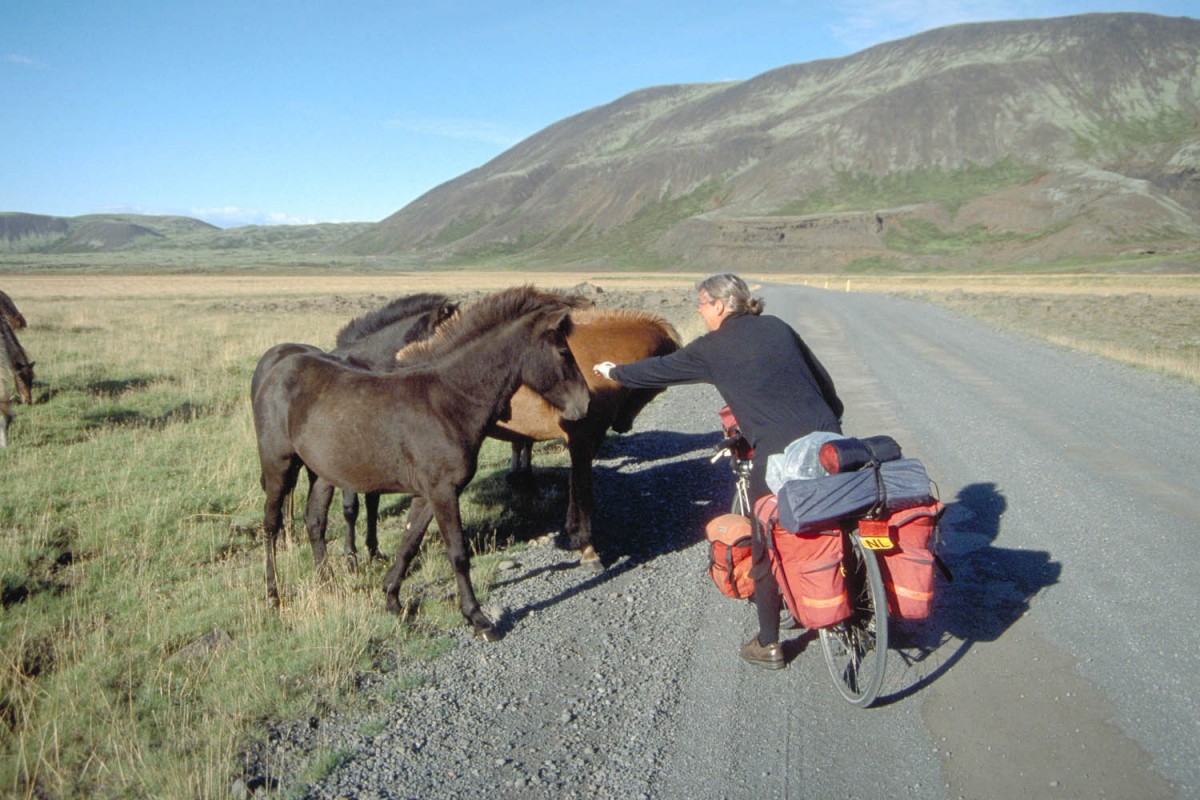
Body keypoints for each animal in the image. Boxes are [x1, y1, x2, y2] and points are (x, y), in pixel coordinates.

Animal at [253, 284, 590, 642]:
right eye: (564, 352)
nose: (584, 404)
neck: (449, 402)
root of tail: (275, 369)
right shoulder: (443, 492)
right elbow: (458, 554)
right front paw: (478, 618)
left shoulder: (428, 494)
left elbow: (409, 543)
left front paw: (391, 598)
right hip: (279, 466)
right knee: (271, 525)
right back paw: (273, 594)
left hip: (320, 472)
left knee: (314, 519)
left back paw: (328, 584)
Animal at [484, 309, 676, 573]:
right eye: (653, 390)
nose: (624, 424)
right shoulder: (580, 441)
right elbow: (582, 492)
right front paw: (586, 547)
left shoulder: (589, 441)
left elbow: (580, 491)